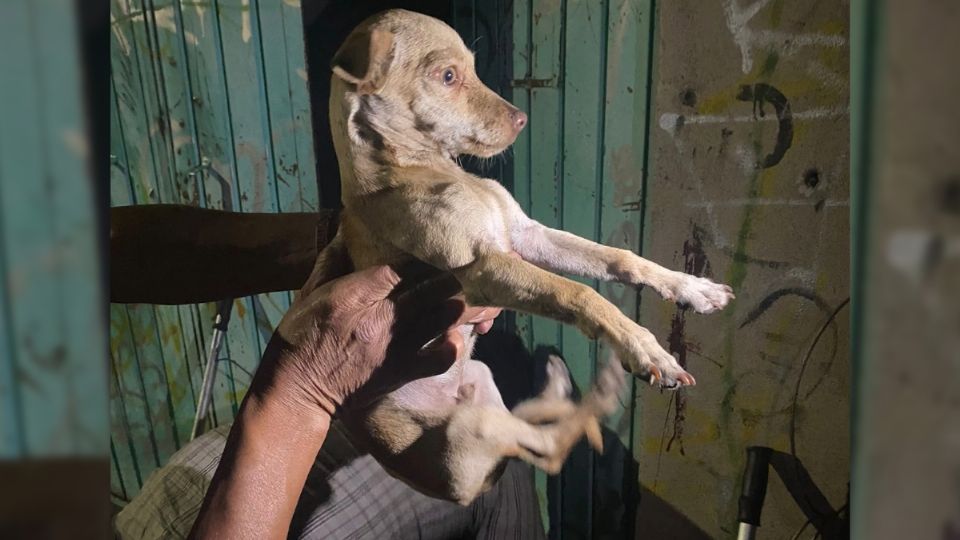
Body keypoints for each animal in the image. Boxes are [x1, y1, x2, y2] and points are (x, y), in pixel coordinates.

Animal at [300, 9, 736, 506]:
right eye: (447, 76)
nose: (522, 119)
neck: (424, 168)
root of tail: (462, 488)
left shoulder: (528, 237)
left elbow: (618, 259)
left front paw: (692, 288)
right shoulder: (483, 268)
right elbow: (579, 294)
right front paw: (646, 349)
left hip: (481, 379)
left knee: (530, 425)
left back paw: (562, 383)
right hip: (474, 427)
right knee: (546, 447)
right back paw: (599, 394)